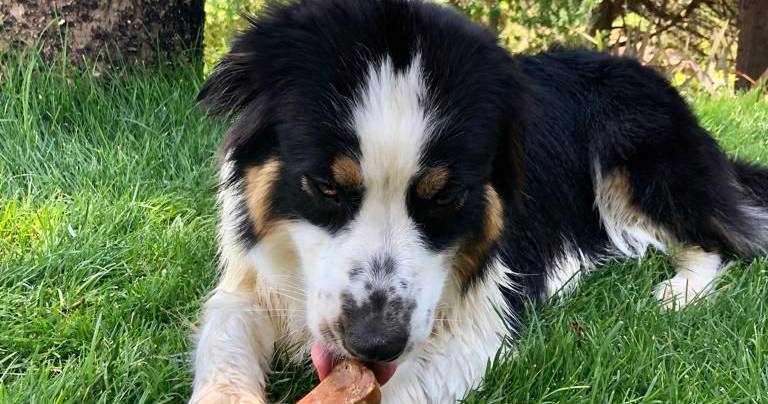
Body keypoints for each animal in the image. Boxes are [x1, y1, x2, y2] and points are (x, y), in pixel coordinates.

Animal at [186, 1, 768, 402]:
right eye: (325, 187)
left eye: (445, 196)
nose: (376, 344)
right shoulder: (247, 283)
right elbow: (225, 334)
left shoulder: (483, 320)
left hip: (637, 158)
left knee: (723, 237)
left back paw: (678, 291)